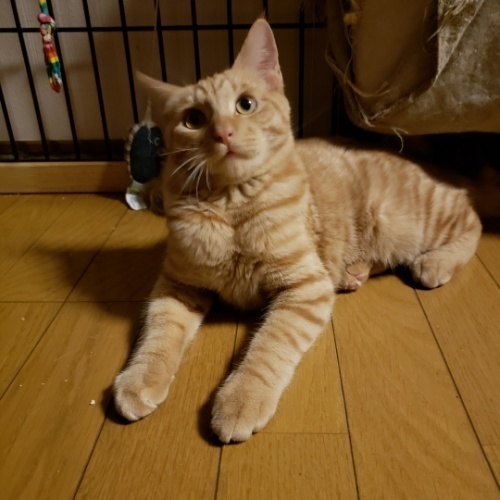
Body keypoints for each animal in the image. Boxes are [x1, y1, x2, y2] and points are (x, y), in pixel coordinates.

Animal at [113, 19, 481, 443]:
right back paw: (354, 272)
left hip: (408, 220)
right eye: (193, 119)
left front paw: (242, 398)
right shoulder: (176, 284)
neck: (230, 208)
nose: (223, 133)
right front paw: (139, 380)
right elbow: (158, 332)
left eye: (245, 104)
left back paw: (435, 263)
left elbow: (269, 346)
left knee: (470, 217)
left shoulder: (305, 287)